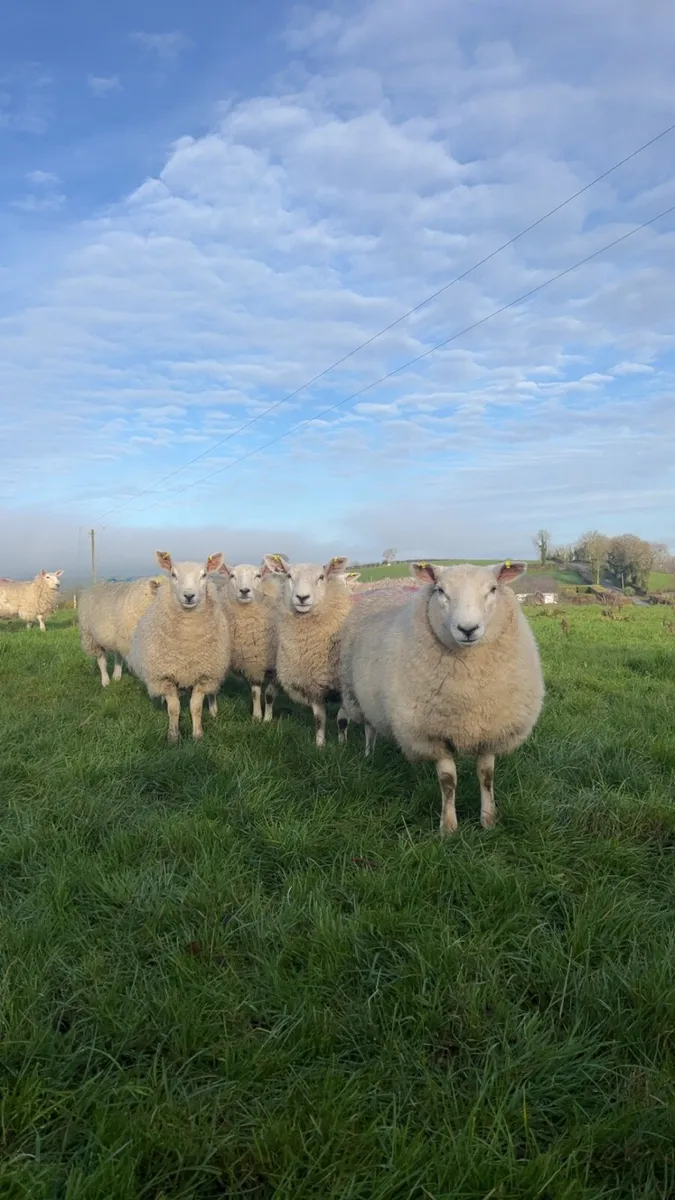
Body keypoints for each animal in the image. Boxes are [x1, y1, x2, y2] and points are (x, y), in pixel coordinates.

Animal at [127, 551, 231, 741]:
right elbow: (174, 708)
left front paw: (198, 735)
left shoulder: (204, 674)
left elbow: (196, 707)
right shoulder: (165, 676)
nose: (189, 596)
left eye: (204, 574)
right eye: (173, 574)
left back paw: (213, 710)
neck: (187, 642)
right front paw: (173, 736)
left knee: (212, 692)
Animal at [216, 560, 278, 721]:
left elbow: (269, 695)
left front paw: (267, 719)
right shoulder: (252, 661)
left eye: (258, 575)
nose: (244, 591)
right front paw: (256, 717)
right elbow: (255, 693)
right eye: (232, 576)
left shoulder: (275, 667)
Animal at [264, 553, 351, 748]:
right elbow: (319, 719)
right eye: (289, 576)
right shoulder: (313, 684)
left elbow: (342, 720)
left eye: (321, 577)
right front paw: (320, 745)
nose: (302, 597)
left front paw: (342, 744)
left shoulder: (344, 686)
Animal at [339, 561, 545, 835]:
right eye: (440, 590)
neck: (469, 687)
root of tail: (383, 588)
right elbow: (448, 782)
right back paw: (368, 754)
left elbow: (486, 776)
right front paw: (448, 828)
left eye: (492, 588)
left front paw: (488, 820)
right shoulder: (432, 735)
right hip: (357, 695)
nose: (467, 629)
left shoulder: (490, 730)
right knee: (369, 728)